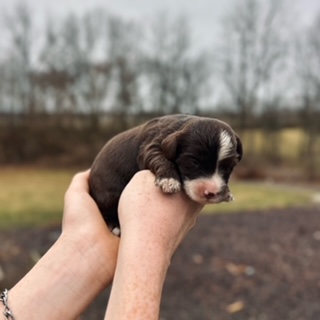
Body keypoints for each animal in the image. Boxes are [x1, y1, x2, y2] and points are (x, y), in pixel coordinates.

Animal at [88, 114, 242, 234]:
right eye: (194, 162)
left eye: (229, 166)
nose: (211, 192)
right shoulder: (151, 147)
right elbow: (161, 159)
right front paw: (169, 179)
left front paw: (226, 192)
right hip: (108, 195)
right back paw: (115, 226)